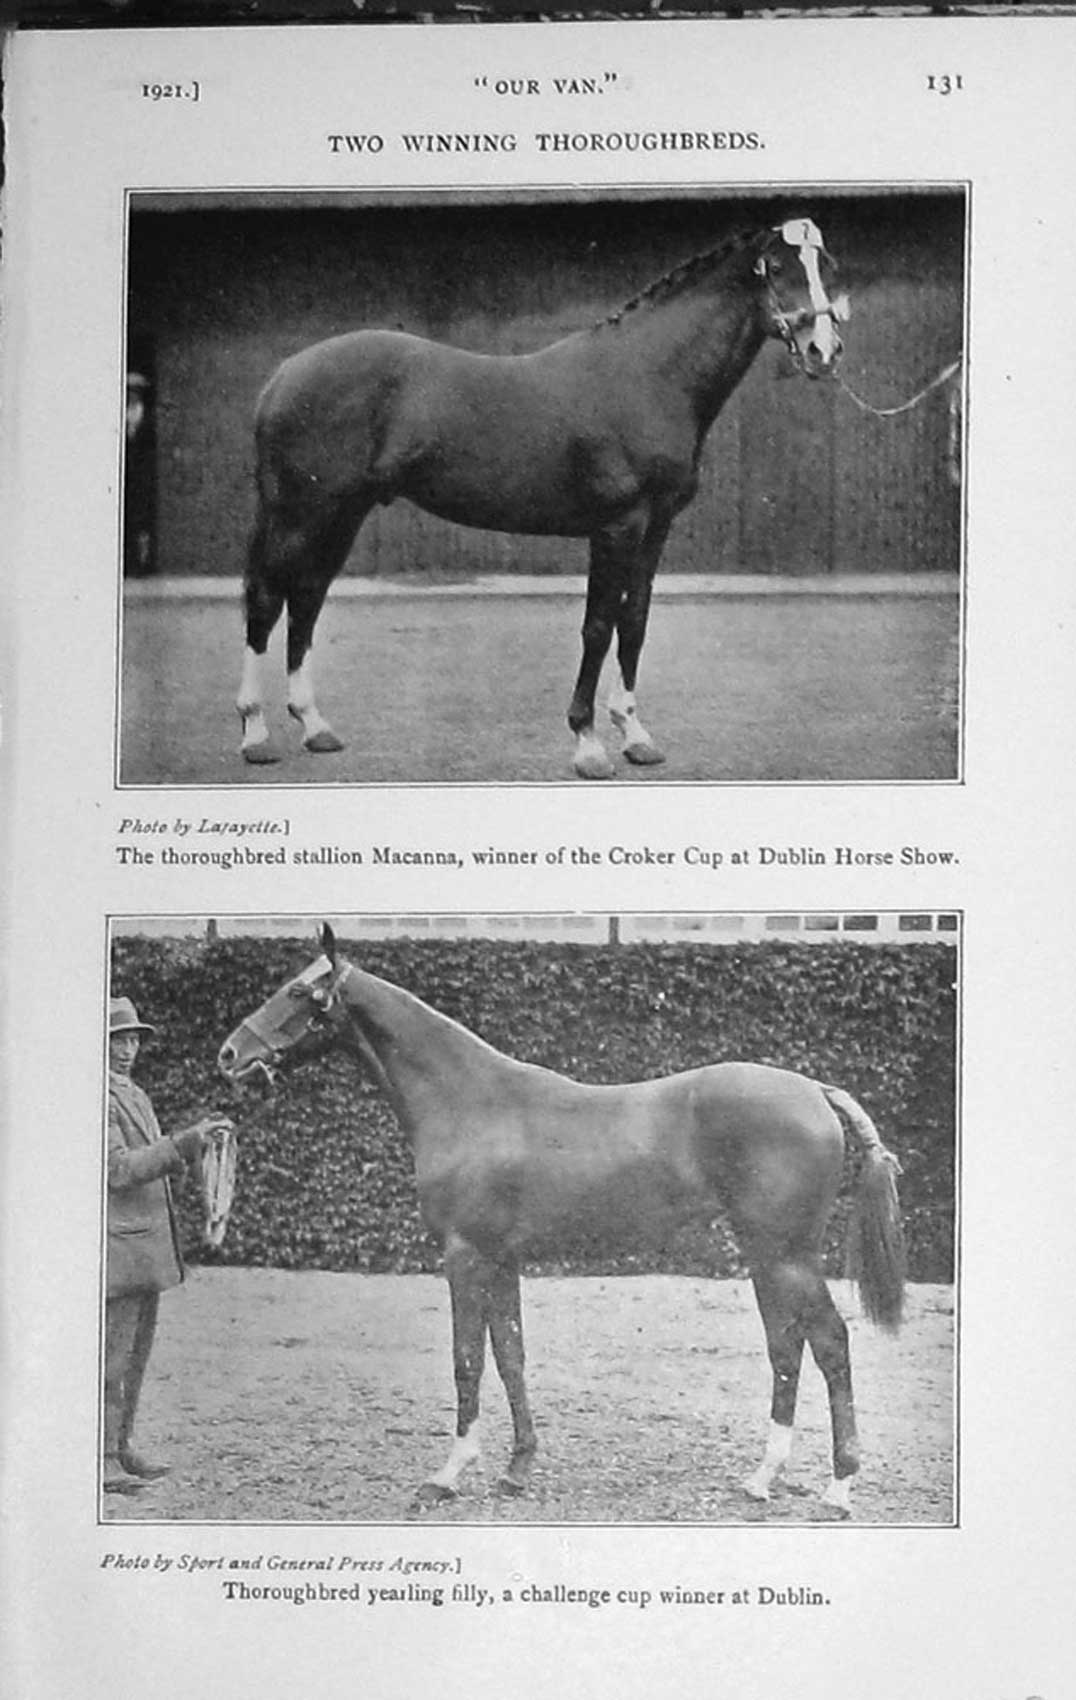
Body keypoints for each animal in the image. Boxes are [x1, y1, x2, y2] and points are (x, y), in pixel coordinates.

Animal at [217, 925, 904, 1518]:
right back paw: (763, 1478)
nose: (228, 1055)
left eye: (299, 992)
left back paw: (838, 1487)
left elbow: (467, 1359)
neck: (470, 1102)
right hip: (766, 1257)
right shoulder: (500, 1259)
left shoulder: (464, 1256)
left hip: (786, 1256)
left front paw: (447, 1474)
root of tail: (815, 1090)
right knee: (787, 1347)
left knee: (830, 1343)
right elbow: (510, 1355)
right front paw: (518, 1468)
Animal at [236, 217, 849, 779]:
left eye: (827, 267)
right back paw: (256, 735)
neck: (647, 375)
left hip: (342, 513)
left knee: (307, 596)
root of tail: (284, 373)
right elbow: (598, 626)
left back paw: (315, 726)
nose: (824, 350)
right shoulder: (617, 527)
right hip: (300, 513)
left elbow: (635, 620)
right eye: (777, 268)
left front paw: (636, 736)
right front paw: (589, 744)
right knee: (267, 598)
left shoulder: (656, 527)